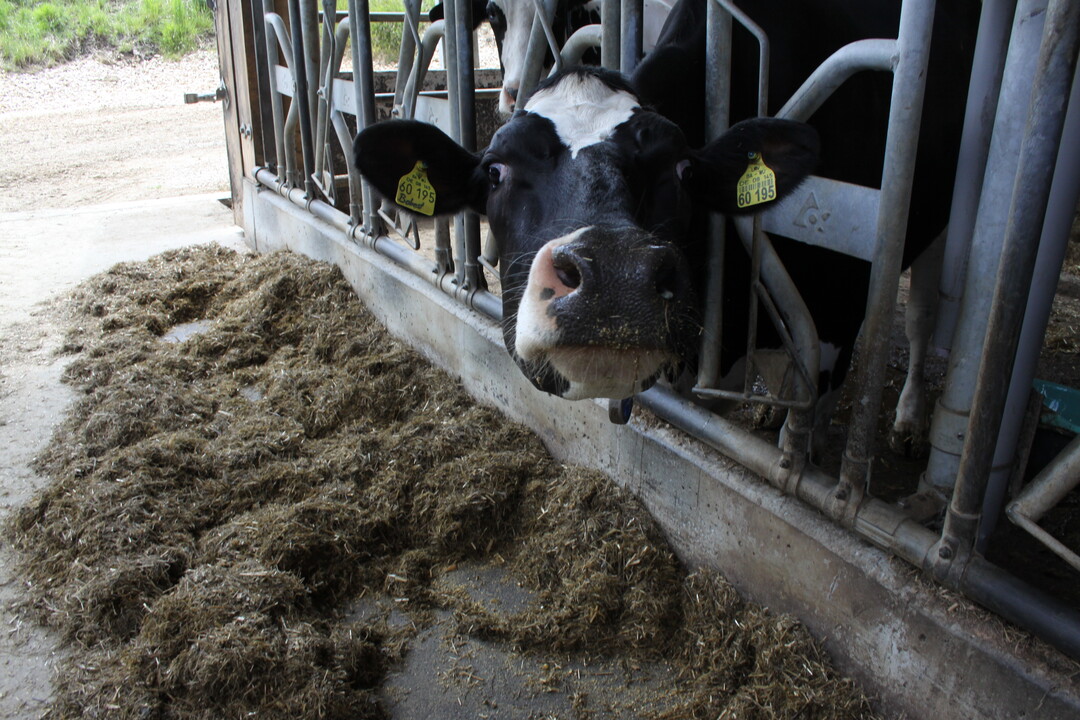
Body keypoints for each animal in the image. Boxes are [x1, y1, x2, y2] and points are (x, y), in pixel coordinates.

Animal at [356, 0, 978, 454]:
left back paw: (909, 420)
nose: (614, 281)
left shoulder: (838, 311)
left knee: (926, 314)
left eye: (682, 169)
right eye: (495, 171)